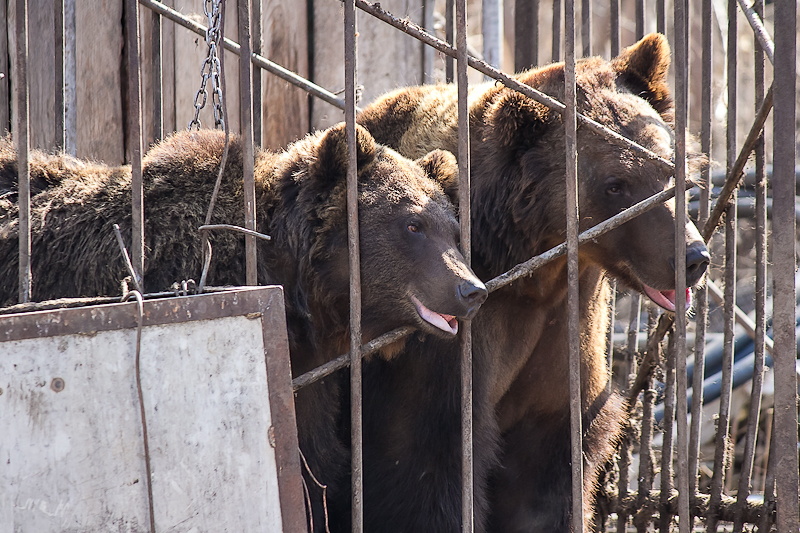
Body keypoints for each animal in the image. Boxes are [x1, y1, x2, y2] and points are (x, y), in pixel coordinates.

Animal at [360, 32, 708, 528]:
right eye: (616, 184)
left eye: (667, 165)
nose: (693, 257)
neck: (534, 270)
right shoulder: (443, 344)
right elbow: (423, 470)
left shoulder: (566, 337)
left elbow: (543, 481)